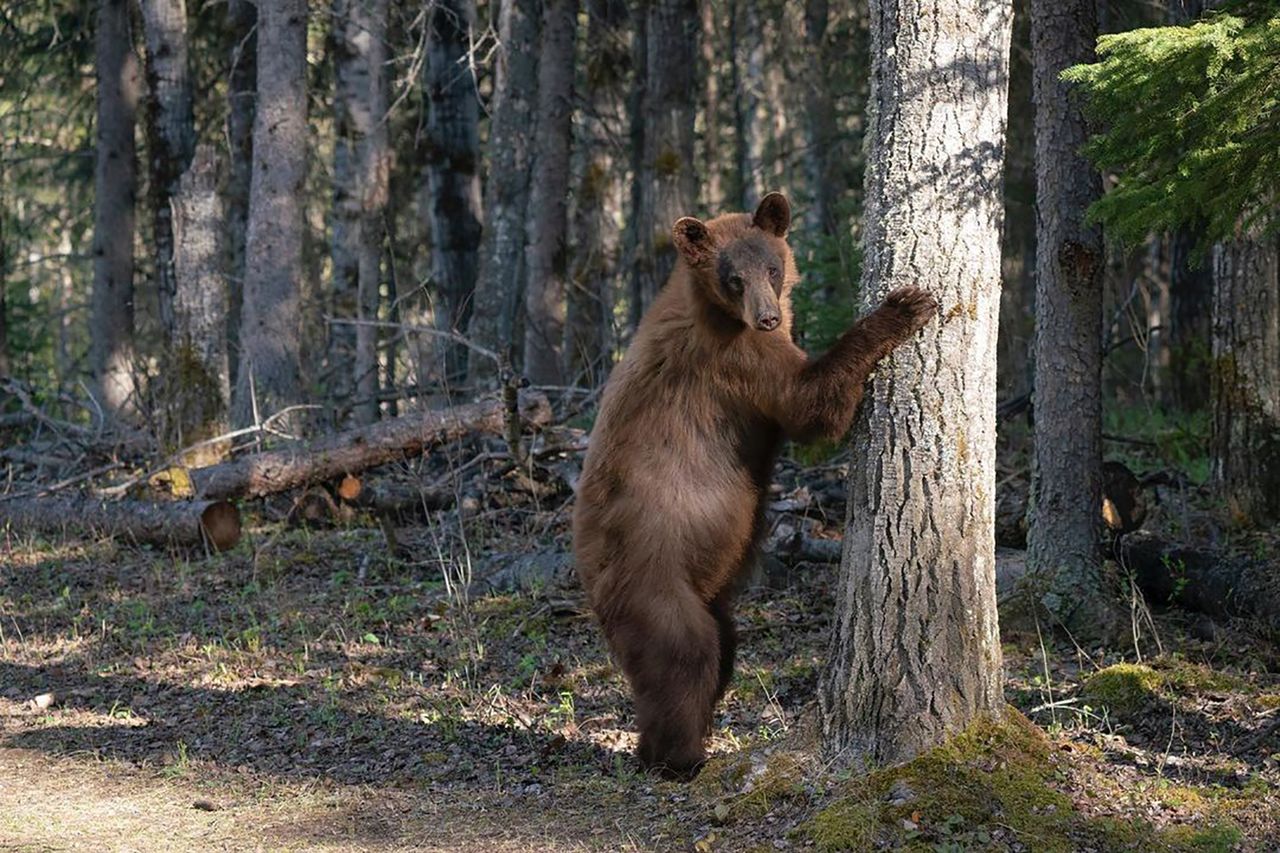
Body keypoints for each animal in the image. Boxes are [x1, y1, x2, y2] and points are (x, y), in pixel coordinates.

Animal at [576, 192, 936, 778]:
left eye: (771, 266)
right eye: (733, 278)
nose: (768, 317)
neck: (712, 309)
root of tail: (588, 577)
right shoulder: (735, 362)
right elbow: (810, 403)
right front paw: (904, 306)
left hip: (703, 590)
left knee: (723, 649)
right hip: (652, 578)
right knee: (684, 656)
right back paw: (678, 757)